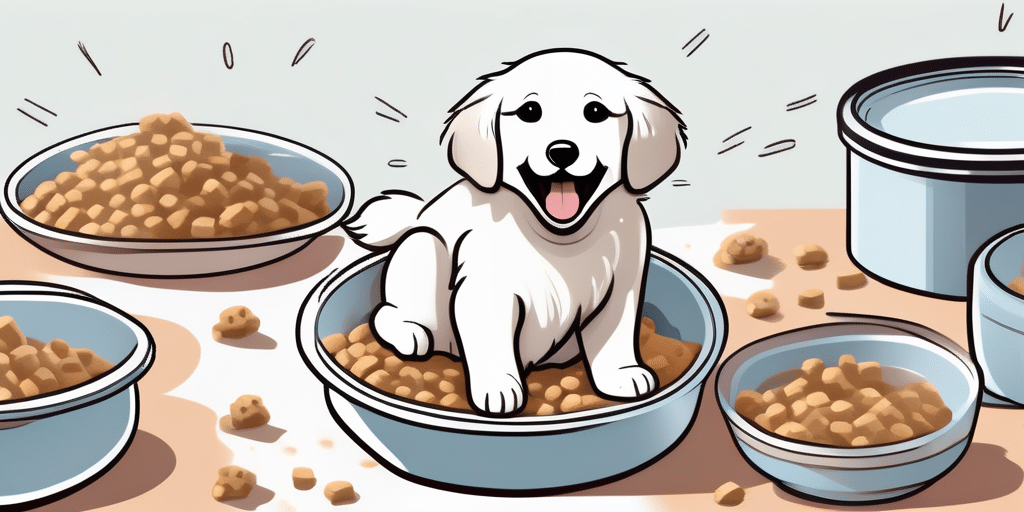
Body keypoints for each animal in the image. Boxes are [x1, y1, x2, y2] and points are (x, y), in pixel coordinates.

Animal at [344, 48, 688, 415]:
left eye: (595, 112)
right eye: (529, 112)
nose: (562, 151)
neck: (561, 236)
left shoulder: (622, 288)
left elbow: (616, 337)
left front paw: (621, 375)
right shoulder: (485, 290)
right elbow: (492, 340)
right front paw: (498, 388)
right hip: (423, 246)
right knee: (386, 312)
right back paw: (408, 331)